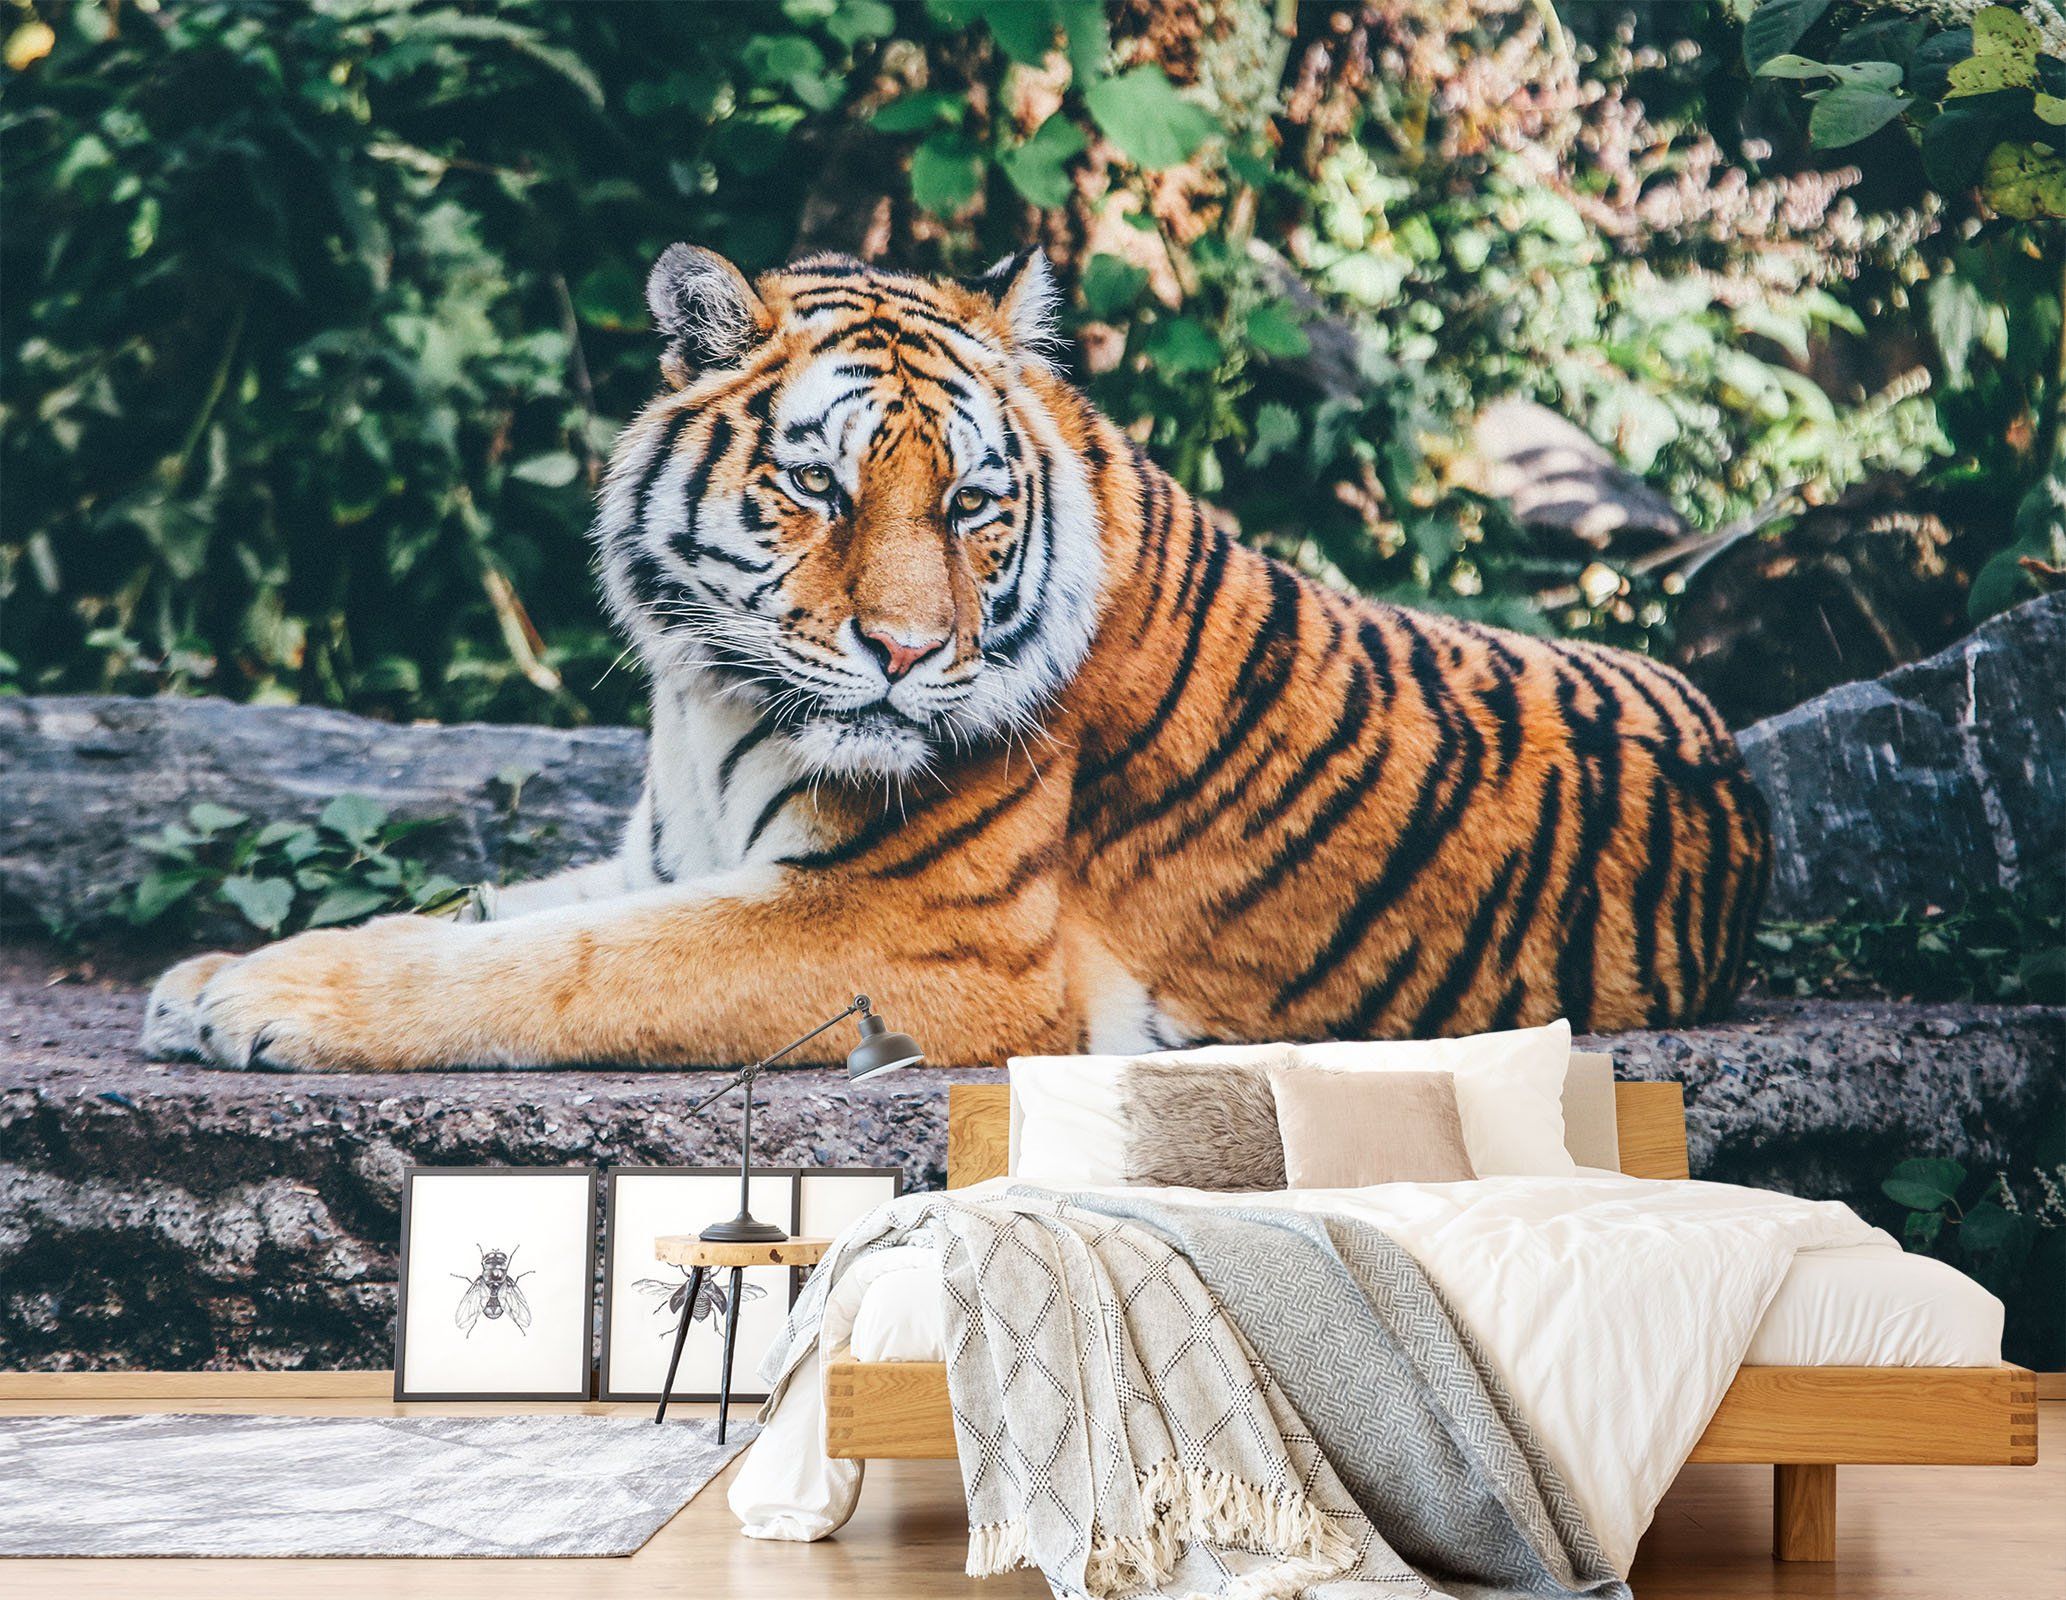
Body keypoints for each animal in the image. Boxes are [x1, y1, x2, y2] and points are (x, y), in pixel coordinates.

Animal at [142, 247, 1770, 1073]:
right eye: (819, 487)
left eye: (973, 505)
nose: (907, 651)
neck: (706, 699)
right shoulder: (666, 856)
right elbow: (485, 912)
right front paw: (213, 973)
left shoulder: (909, 934)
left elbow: (557, 968)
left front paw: (261, 1005)